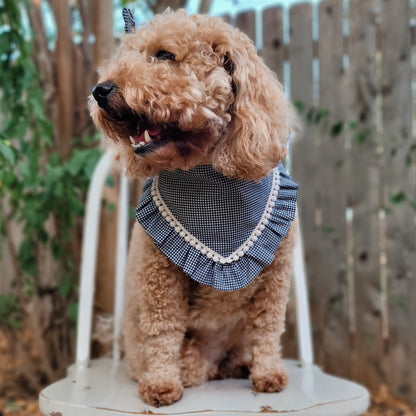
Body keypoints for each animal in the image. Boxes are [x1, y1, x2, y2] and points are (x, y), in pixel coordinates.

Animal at [91, 8, 300, 406]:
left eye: (163, 55)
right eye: (127, 54)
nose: (100, 90)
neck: (210, 176)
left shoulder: (275, 276)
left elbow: (267, 327)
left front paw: (268, 373)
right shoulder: (160, 278)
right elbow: (163, 329)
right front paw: (161, 384)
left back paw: (242, 364)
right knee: (189, 362)